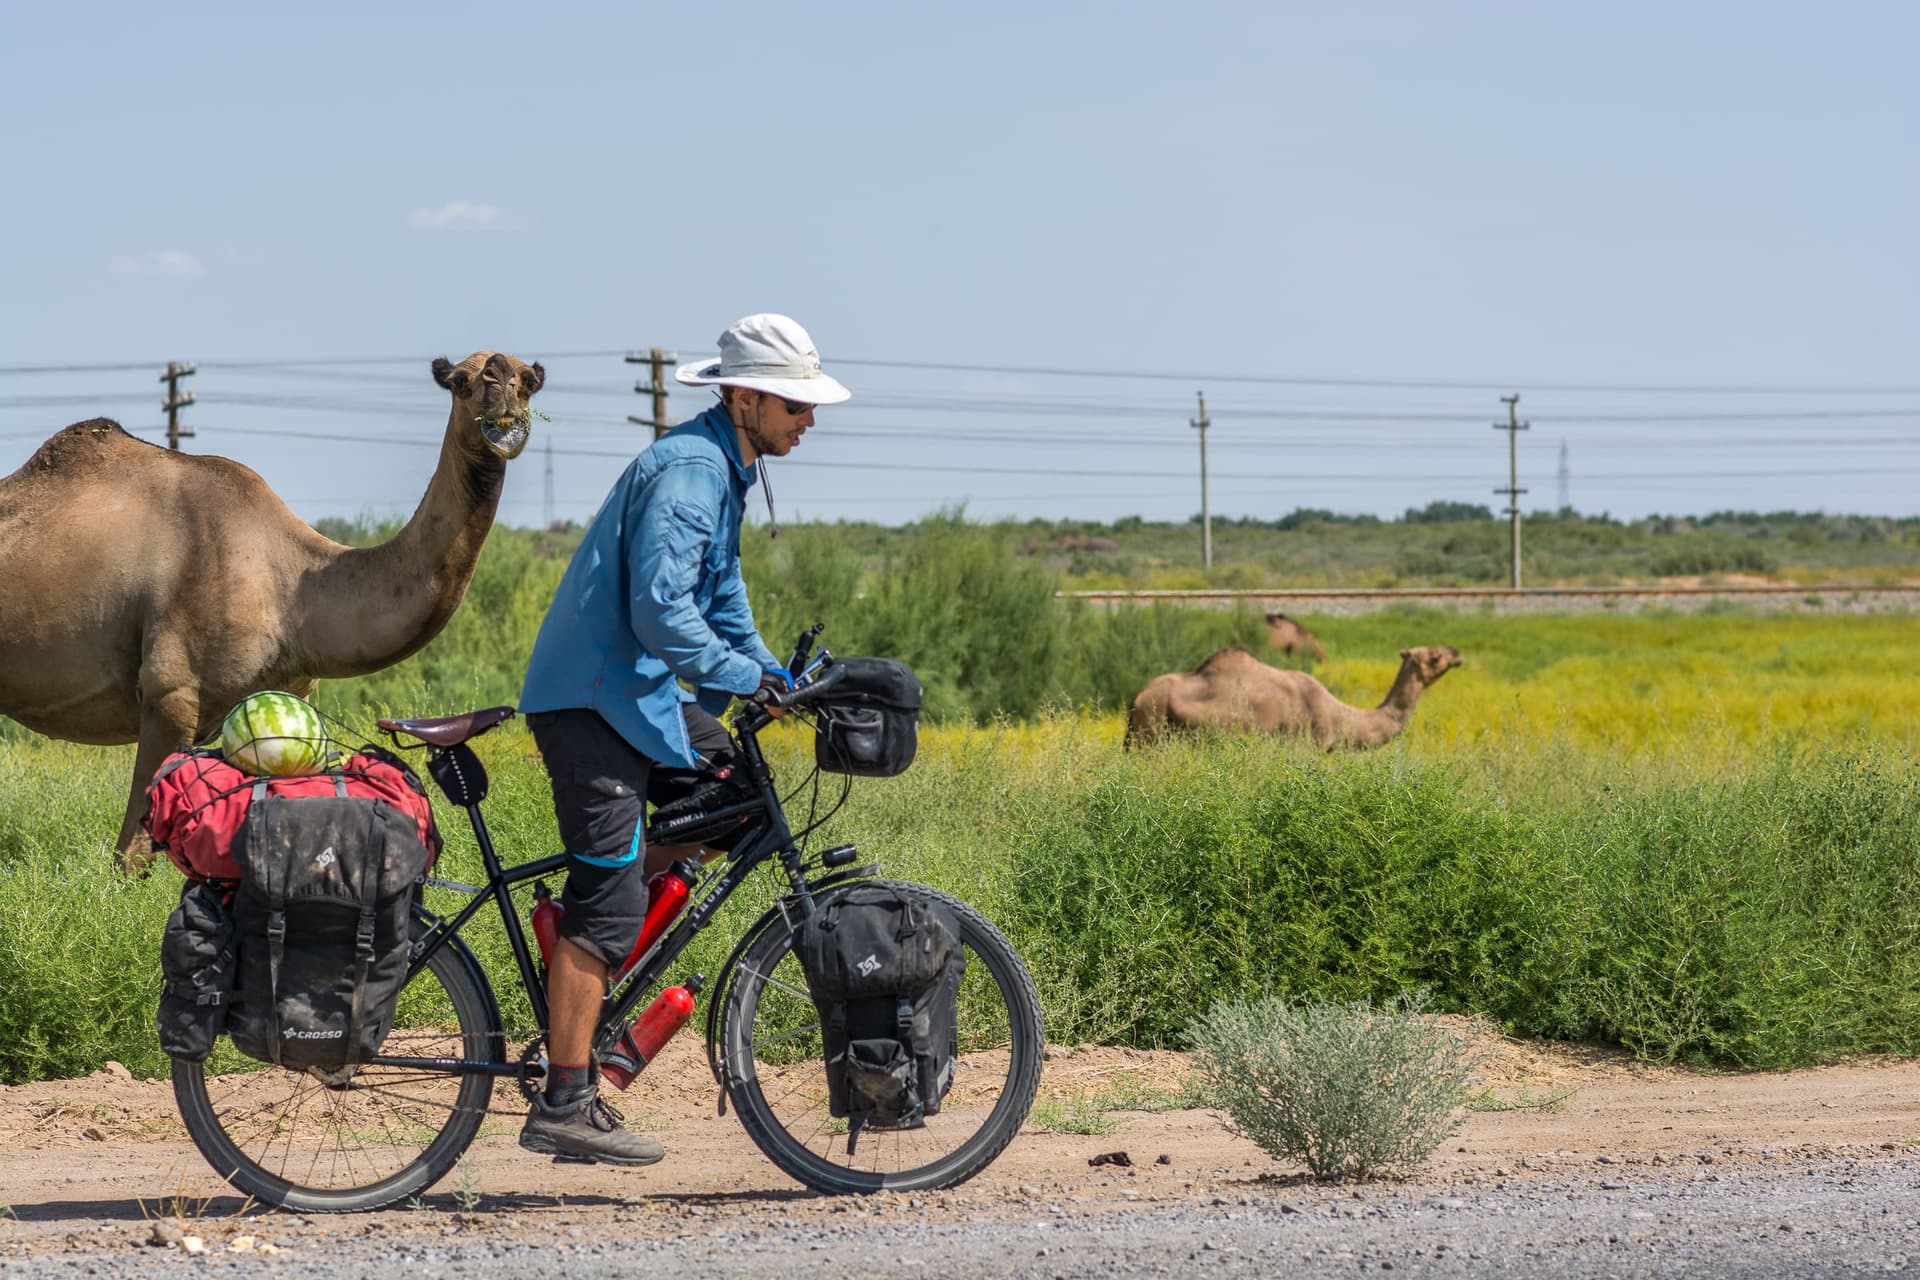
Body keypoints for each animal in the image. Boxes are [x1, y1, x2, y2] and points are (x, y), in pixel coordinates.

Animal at [0, 351, 544, 871]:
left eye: (529, 382)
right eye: (460, 381)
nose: (501, 382)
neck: (293, 590)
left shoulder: (287, 693)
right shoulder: (170, 692)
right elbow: (131, 858)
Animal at [1126, 644, 1463, 750]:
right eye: (1434, 657)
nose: (1457, 653)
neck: (1337, 713)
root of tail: (1136, 698)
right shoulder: (1308, 744)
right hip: (1149, 732)